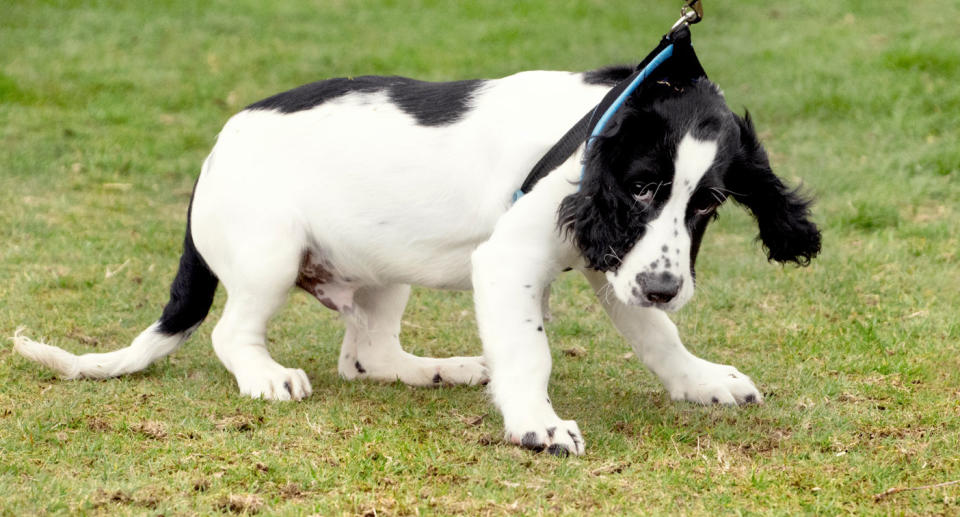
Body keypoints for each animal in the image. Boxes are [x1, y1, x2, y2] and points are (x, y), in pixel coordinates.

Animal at [13, 29, 816, 456]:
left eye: (707, 204)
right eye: (646, 187)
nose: (664, 287)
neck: (600, 118)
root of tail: (214, 150)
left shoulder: (613, 259)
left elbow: (658, 335)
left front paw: (702, 380)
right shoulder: (523, 259)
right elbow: (531, 351)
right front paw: (537, 424)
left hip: (382, 265)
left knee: (366, 355)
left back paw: (443, 369)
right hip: (270, 252)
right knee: (232, 333)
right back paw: (265, 376)